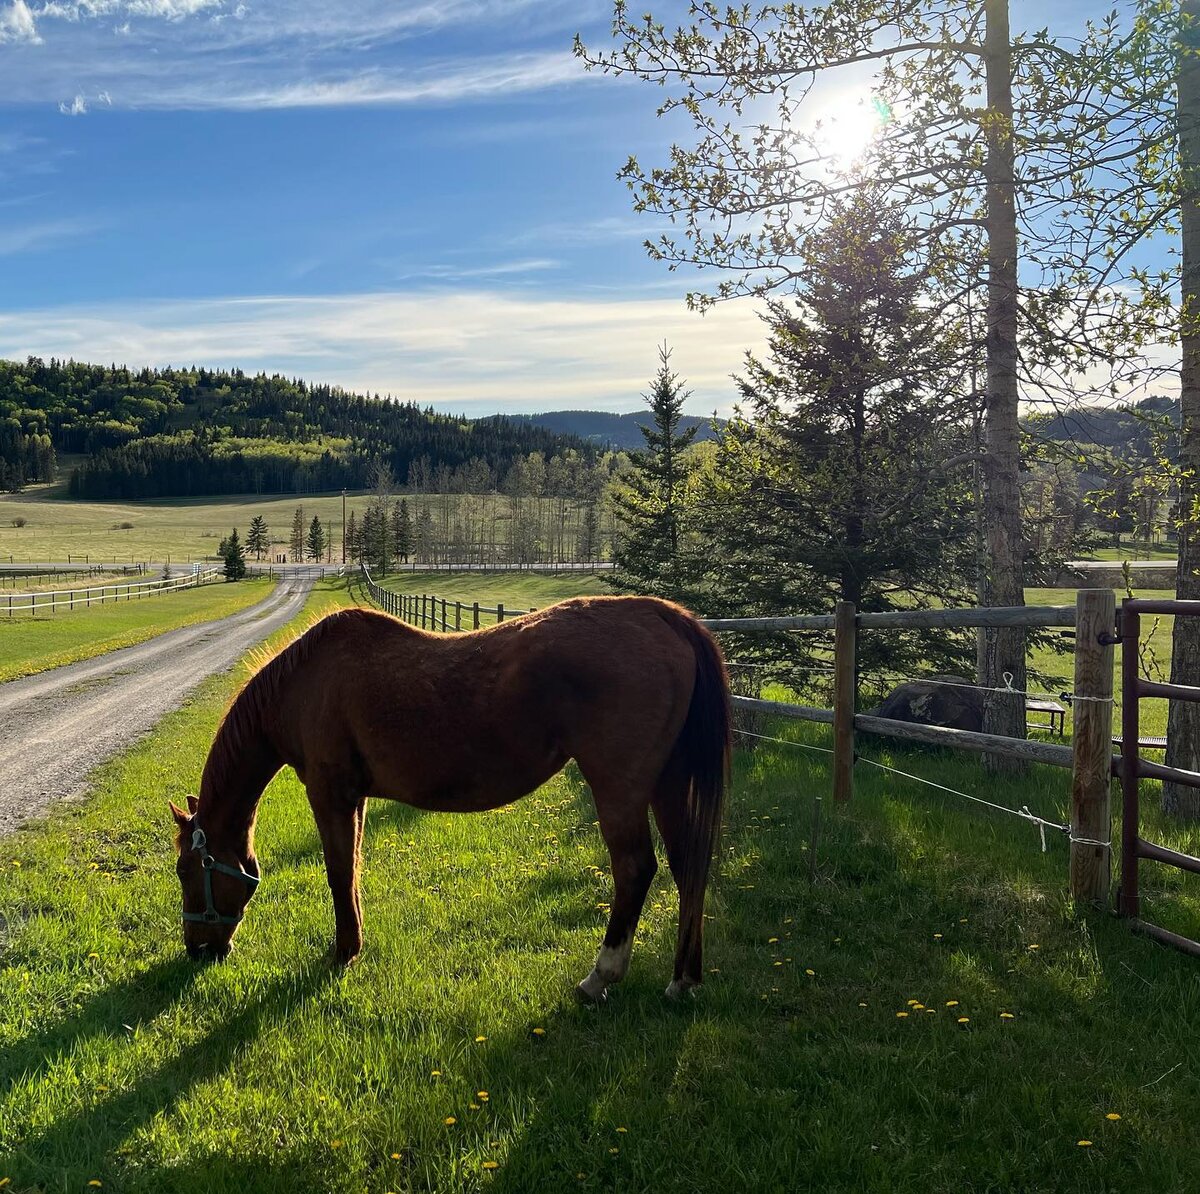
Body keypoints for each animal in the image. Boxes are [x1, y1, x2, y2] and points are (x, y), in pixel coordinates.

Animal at [169, 595, 729, 998]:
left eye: (185, 870)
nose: (197, 949)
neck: (305, 686)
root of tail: (665, 617)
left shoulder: (330, 795)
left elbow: (338, 872)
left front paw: (343, 952)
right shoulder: (355, 798)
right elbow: (352, 868)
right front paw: (355, 944)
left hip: (619, 789)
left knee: (635, 869)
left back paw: (601, 975)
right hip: (667, 784)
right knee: (687, 866)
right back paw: (683, 978)